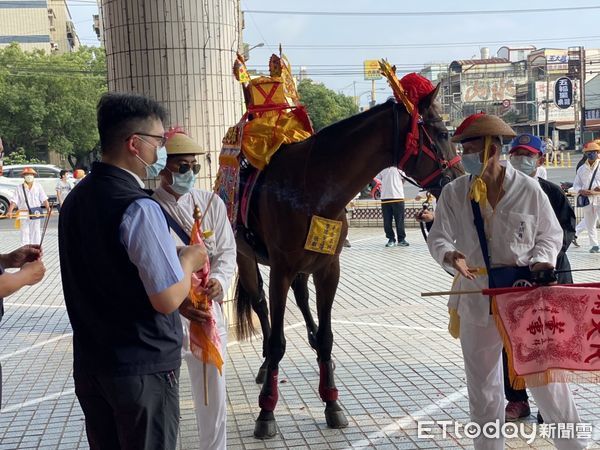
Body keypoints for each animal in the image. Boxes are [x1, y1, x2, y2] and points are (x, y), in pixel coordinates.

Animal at [233, 86, 460, 438]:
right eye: (443, 133)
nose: (459, 178)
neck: (312, 188)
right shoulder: (280, 270)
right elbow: (277, 341)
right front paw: (266, 411)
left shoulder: (329, 268)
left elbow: (327, 336)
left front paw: (331, 401)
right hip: (246, 258)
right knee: (261, 306)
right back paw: (265, 364)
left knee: (302, 298)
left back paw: (311, 342)